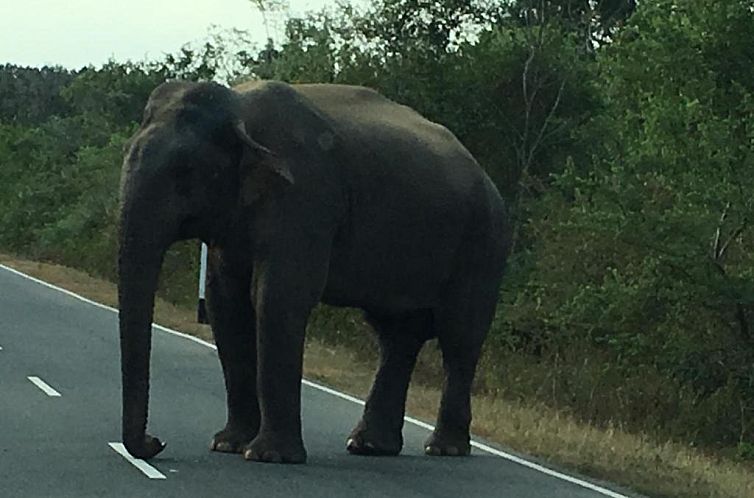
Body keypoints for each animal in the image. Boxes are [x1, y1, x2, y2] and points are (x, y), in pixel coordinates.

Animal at [119, 78, 512, 462]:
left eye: (184, 172)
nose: (157, 442)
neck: (239, 108)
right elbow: (226, 304)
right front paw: (228, 445)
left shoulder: (306, 197)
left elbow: (277, 297)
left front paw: (268, 456)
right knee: (397, 336)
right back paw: (370, 446)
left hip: (483, 243)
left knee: (459, 337)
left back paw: (443, 448)